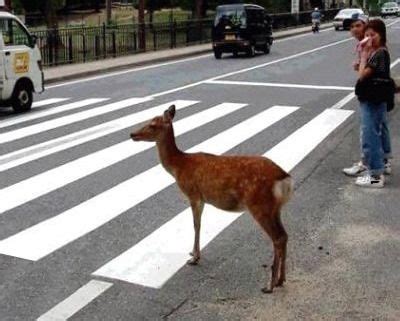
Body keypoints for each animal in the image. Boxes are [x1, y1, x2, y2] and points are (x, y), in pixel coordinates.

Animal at [131, 105, 294, 292]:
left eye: (152, 124)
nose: (132, 134)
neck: (179, 166)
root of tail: (286, 179)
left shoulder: (194, 194)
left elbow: (196, 225)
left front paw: (194, 258)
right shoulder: (201, 198)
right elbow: (198, 225)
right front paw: (193, 254)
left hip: (260, 204)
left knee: (277, 238)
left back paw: (270, 285)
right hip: (275, 208)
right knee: (284, 235)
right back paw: (281, 279)